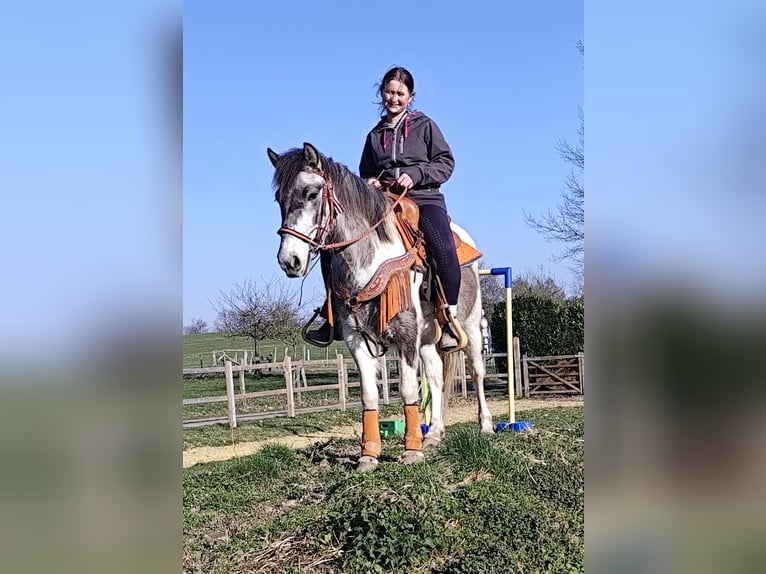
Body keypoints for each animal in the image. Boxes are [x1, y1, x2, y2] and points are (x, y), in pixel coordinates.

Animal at [268, 142, 494, 471]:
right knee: (437, 376)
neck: (369, 258)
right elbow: (369, 395)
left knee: (476, 371)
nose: (289, 261)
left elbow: (409, 389)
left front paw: (411, 451)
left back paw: (485, 426)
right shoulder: (355, 337)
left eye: (311, 193)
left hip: (470, 326)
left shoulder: (405, 332)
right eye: (279, 198)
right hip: (428, 339)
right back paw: (434, 433)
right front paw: (369, 455)